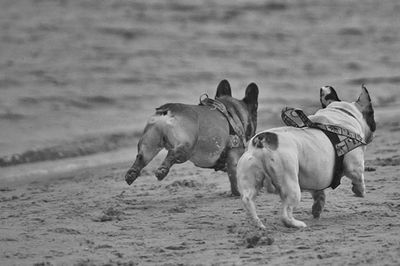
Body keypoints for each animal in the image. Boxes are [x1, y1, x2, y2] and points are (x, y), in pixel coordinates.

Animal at [125, 79, 260, 195]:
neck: (232, 111)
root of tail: (168, 110)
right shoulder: (234, 156)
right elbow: (234, 178)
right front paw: (238, 193)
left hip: (150, 143)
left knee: (142, 157)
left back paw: (132, 174)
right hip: (187, 147)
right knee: (173, 153)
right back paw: (162, 171)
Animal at [238, 85, 376, 229]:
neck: (340, 114)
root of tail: (262, 140)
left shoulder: (314, 178)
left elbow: (319, 194)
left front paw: (317, 208)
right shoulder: (354, 165)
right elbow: (359, 177)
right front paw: (360, 191)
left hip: (249, 175)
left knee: (247, 199)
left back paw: (258, 224)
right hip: (290, 183)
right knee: (286, 214)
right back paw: (297, 224)